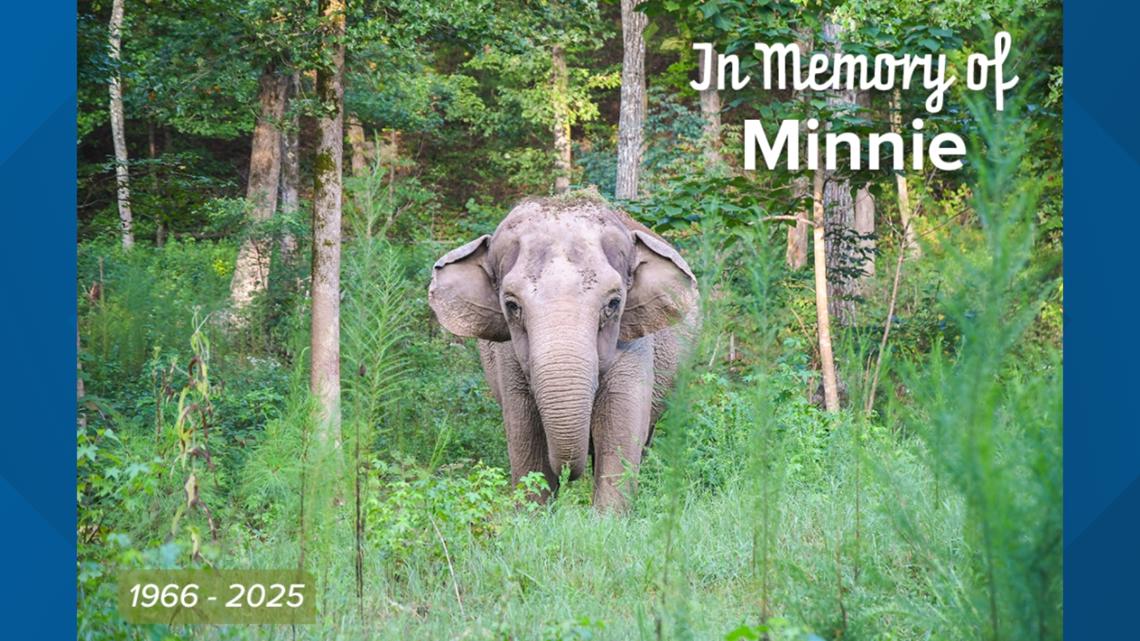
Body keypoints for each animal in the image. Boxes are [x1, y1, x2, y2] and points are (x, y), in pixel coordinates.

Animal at [428, 194, 699, 511]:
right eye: (511, 305)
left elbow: (620, 434)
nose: (569, 475)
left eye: (614, 303)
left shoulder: (634, 343)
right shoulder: (509, 357)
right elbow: (526, 439)